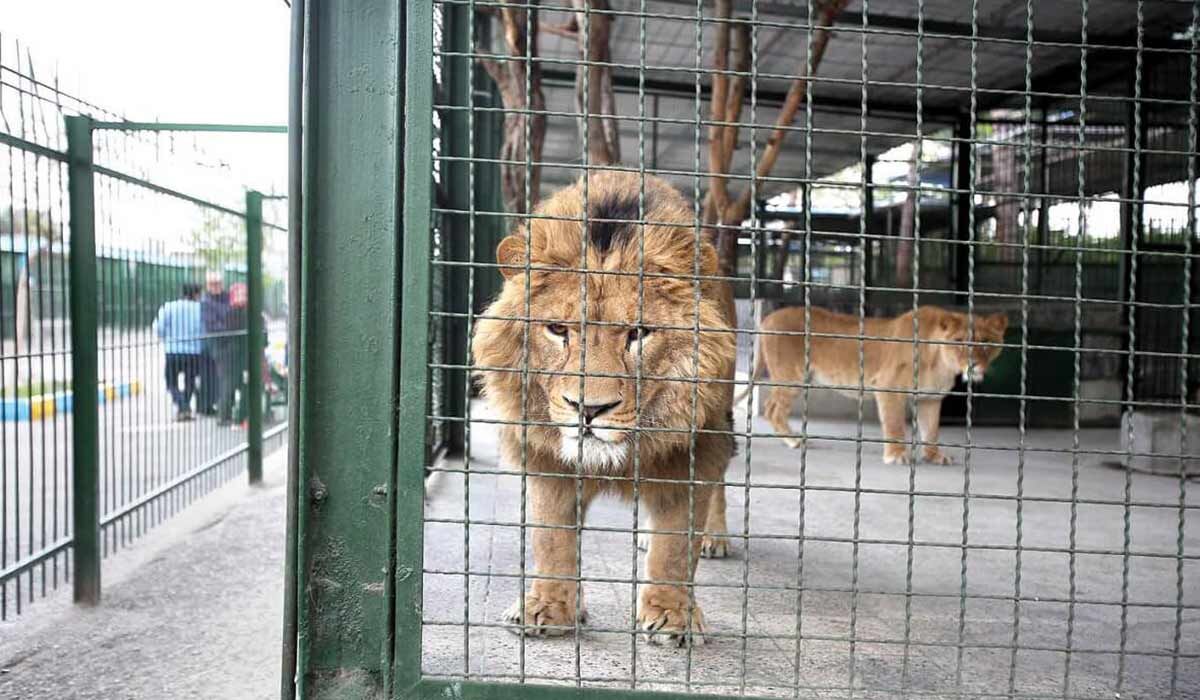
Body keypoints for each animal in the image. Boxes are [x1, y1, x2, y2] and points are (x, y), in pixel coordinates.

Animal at [470, 169, 734, 648]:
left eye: (638, 333)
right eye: (558, 330)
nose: (588, 410)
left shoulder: (695, 447)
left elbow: (676, 544)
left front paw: (673, 615)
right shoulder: (545, 457)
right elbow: (551, 537)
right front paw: (549, 607)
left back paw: (714, 538)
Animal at [734, 307, 1008, 465]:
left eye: (986, 342)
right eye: (960, 341)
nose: (973, 364)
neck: (941, 362)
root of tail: (767, 317)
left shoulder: (930, 398)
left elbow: (931, 431)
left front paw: (934, 456)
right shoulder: (888, 388)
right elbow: (895, 425)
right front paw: (896, 455)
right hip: (792, 376)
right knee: (773, 409)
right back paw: (795, 442)